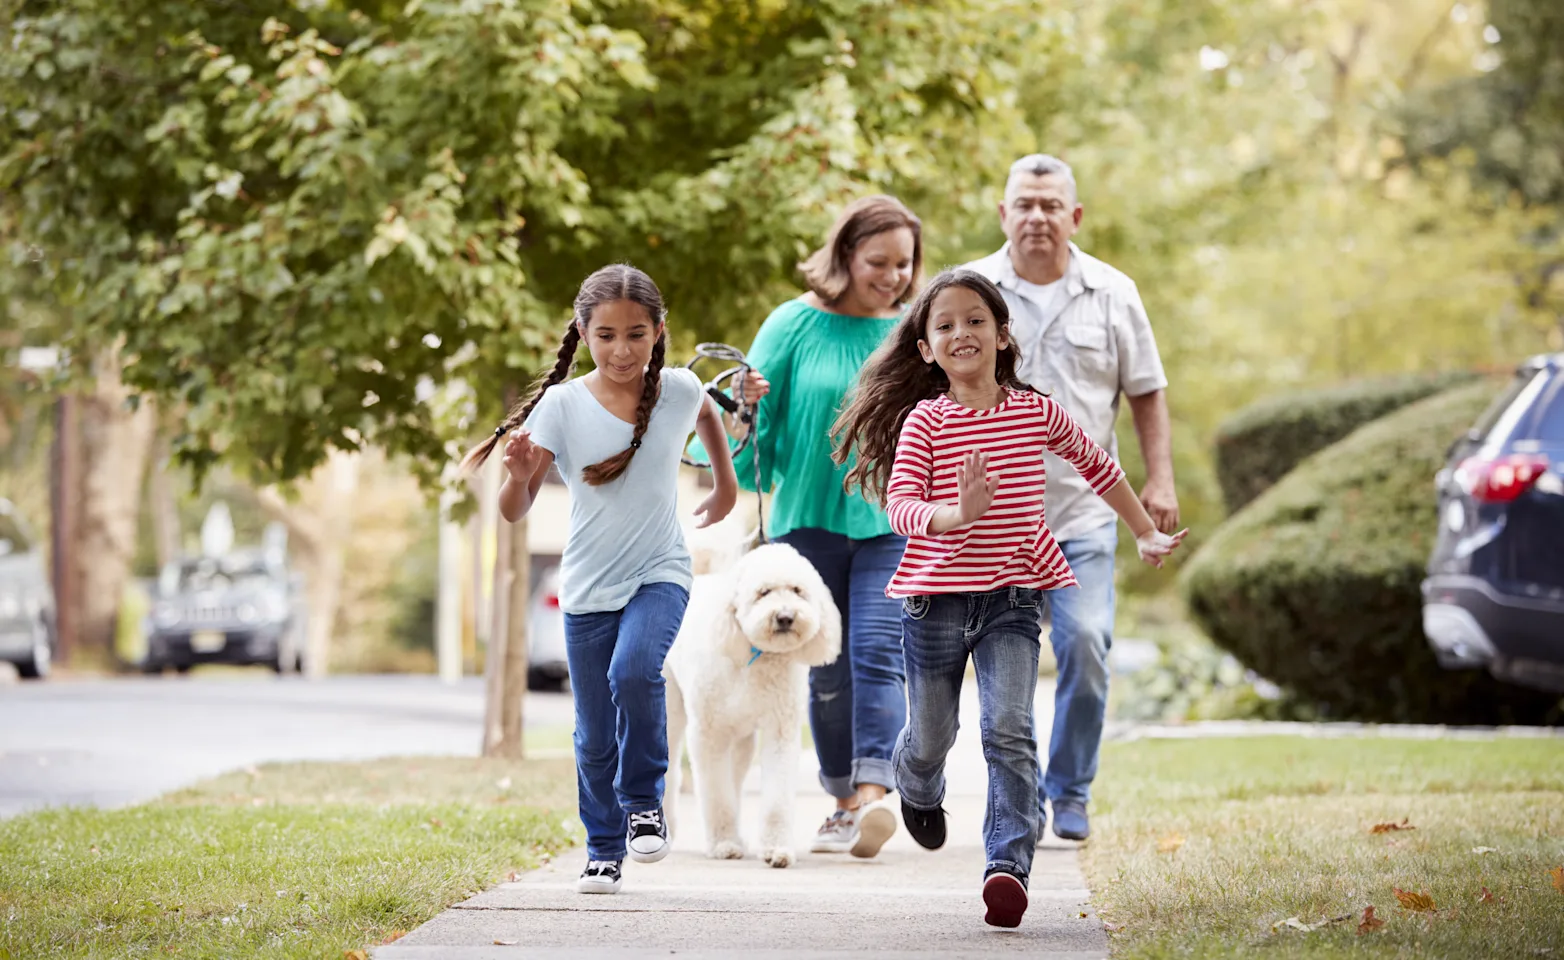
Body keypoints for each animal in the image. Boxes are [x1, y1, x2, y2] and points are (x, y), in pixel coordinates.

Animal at [663, 540, 844, 875]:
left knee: (734, 778)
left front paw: (776, 849)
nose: (785, 617)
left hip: (741, 738)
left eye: (797, 590)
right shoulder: (708, 734)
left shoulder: (780, 732)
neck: (755, 654)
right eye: (763, 592)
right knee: (669, 770)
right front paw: (723, 844)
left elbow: (775, 800)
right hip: (670, 709)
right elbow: (716, 795)